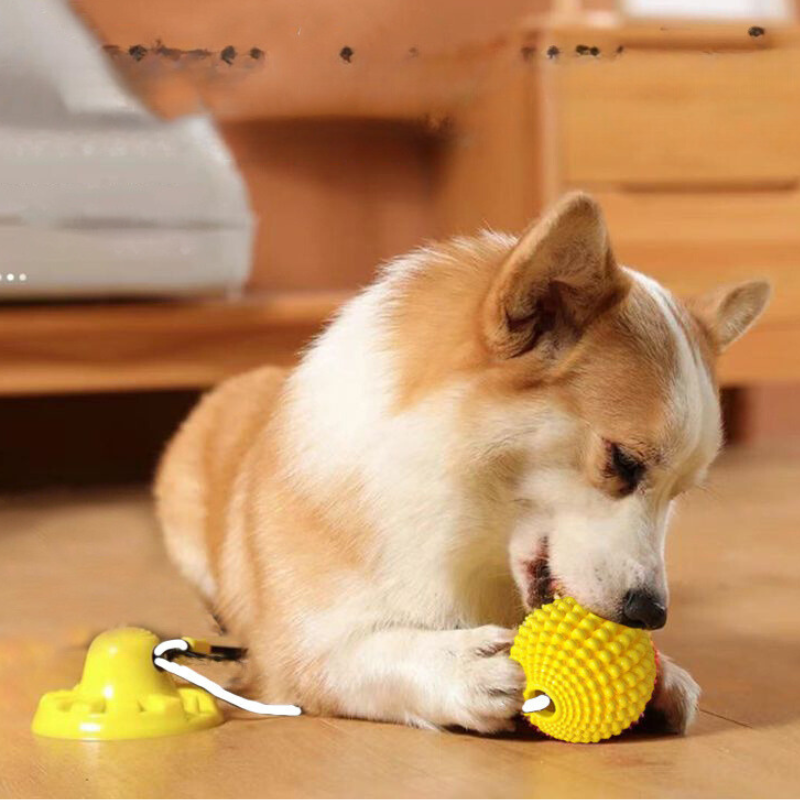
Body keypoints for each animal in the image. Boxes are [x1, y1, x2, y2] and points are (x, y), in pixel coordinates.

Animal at [155, 192, 768, 732]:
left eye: (680, 494)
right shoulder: (296, 654)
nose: (650, 615)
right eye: (621, 461)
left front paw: (667, 676)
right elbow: (367, 651)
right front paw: (459, 663)